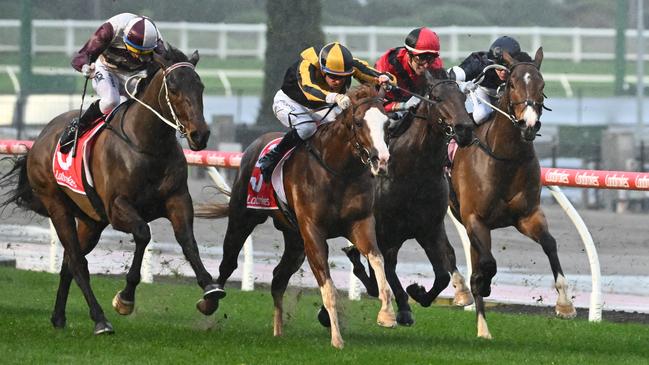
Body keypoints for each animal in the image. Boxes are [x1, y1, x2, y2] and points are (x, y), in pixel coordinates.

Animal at [0, 47, 220, 334]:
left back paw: (58, 317)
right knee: (78, 262)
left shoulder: (177, 199)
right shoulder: (118, 207)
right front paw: (125, 298)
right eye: (172, 88)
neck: (147, 145)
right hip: (57, 205)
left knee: (69, 264)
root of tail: (40, 138)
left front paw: (210, 290)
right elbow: (143, 233)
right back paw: (100, 319)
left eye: (200, 86)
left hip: (90, 221)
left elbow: (187, 241)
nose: (200, 135)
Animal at [197, 84, 392, 348]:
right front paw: (337, 339)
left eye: (388, 123)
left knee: (278, 277)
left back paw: (278, 330)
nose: (381, 161)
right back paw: (209, 302)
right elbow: (328, 287)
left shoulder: (360, 223)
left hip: (295, 239)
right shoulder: (313, 232)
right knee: (229, 262)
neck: (338, 170)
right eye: (359, 122)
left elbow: (377, 259)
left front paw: (387, 315)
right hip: (243, 218)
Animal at [336, 68, 474, 324]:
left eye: (463, 96)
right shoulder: (383, 231)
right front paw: (402, 306)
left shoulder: (429, 228)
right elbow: (383, 269)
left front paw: (418, 293)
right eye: (437, 97)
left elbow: (442, 273)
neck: (413, 171)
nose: (465, 129)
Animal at [448, 47, 576, 336]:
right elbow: (487, 264)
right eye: (513, 84)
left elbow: (550, 244)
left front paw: (565, 304)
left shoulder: (527, 216)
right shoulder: (475, 219)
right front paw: (481, 283)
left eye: (542, 85)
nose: (529, 124)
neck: (505, 158)